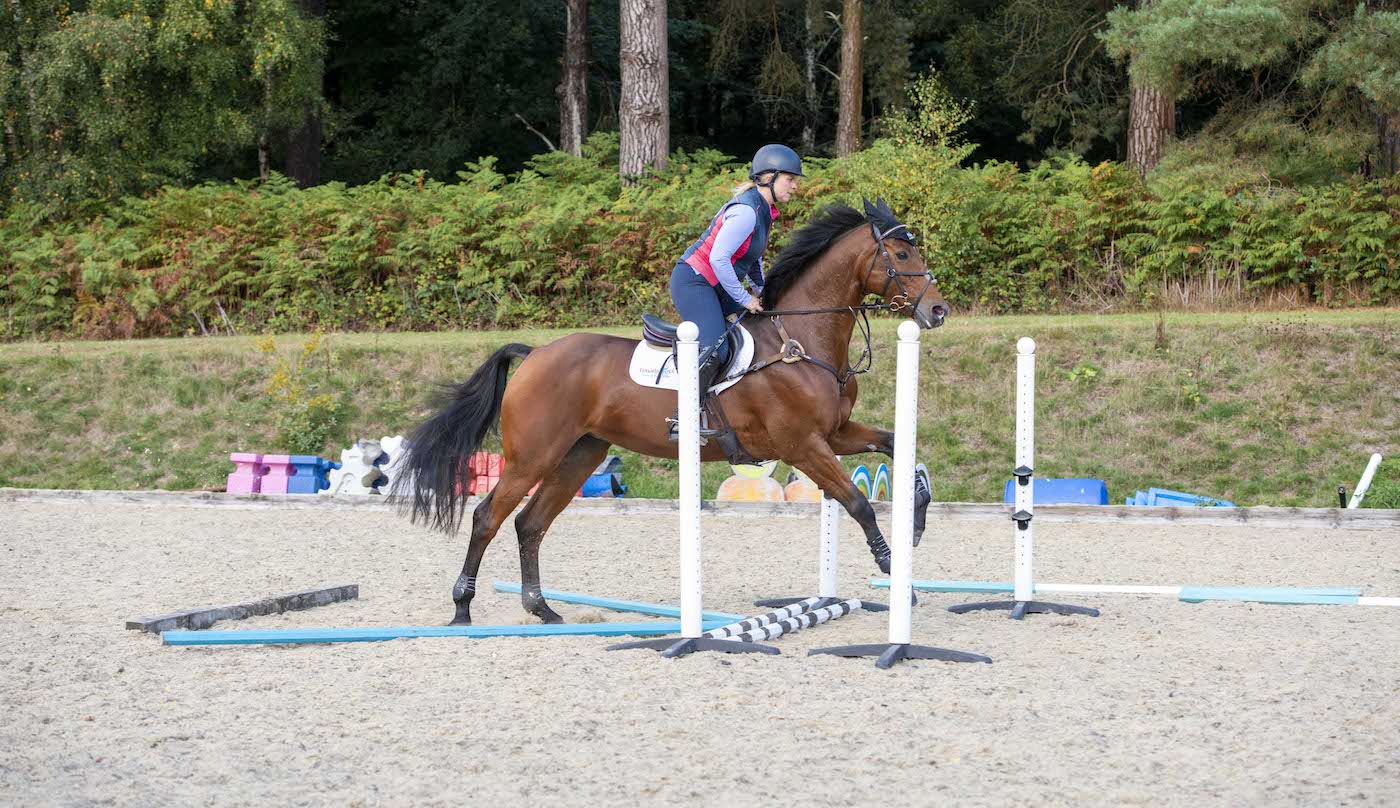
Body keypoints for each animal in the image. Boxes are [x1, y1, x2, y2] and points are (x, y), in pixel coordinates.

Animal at [394, 198, 949, 625]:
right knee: (488, 515)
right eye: (902, 252)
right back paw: (462, 608)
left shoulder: (835, 434)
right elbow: (857, 503)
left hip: (579, 455)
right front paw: (897, 576)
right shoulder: (803, 446)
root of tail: (534, 354)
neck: (801, 341)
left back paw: (542, 609)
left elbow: (899, 447)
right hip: (533, 456)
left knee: (531, 523)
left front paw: (918, 521)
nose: (938, 311)